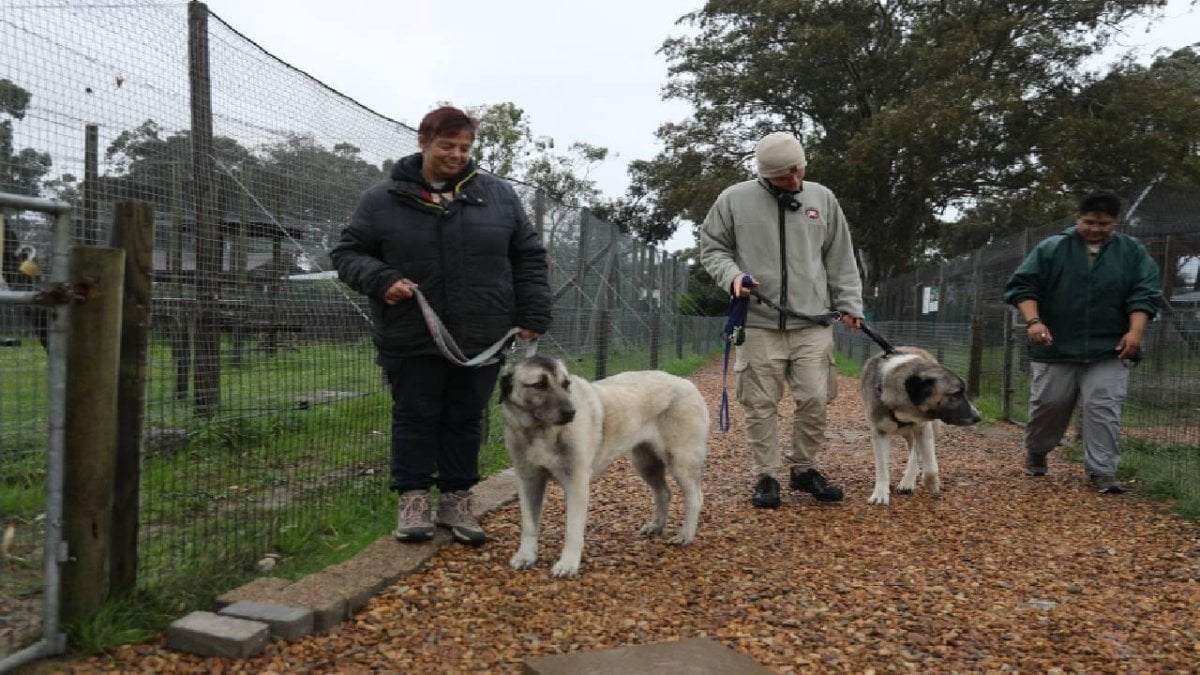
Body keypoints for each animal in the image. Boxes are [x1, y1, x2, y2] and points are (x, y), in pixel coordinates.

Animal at [499, 355, 705, 576]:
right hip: (645, 463)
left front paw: (568, 564)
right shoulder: (528, 480)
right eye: (539, 384)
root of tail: (685, 383)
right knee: (664, 493)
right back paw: (656, 526)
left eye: (566, 384)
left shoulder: (577, 484)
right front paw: (526, 556)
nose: (571, 412)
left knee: (695, 498)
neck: (540, 432)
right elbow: (529, 525)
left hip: (680, 462)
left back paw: (685, 535)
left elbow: (572, 530)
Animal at [864, 343, 984, 502]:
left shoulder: (923, 428)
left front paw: (931, 484)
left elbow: (930, 466)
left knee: (916, 454)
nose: (978, 417)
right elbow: (882, 467)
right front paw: (880, 494)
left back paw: (908, 481)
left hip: (930, 429)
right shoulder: (879, 433)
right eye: (956, 393)